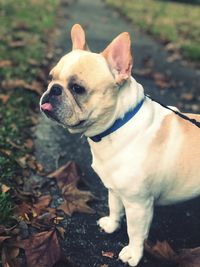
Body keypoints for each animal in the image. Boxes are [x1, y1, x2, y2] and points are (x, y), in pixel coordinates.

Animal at [40, 24, 200, 266]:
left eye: (77, 88)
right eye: (51, 78)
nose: (53, 89)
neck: (116, 126)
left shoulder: (139, 205)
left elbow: (135, 232)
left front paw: (133, 253)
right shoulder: (114, 188)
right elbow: (114, 206)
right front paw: (111, 224)